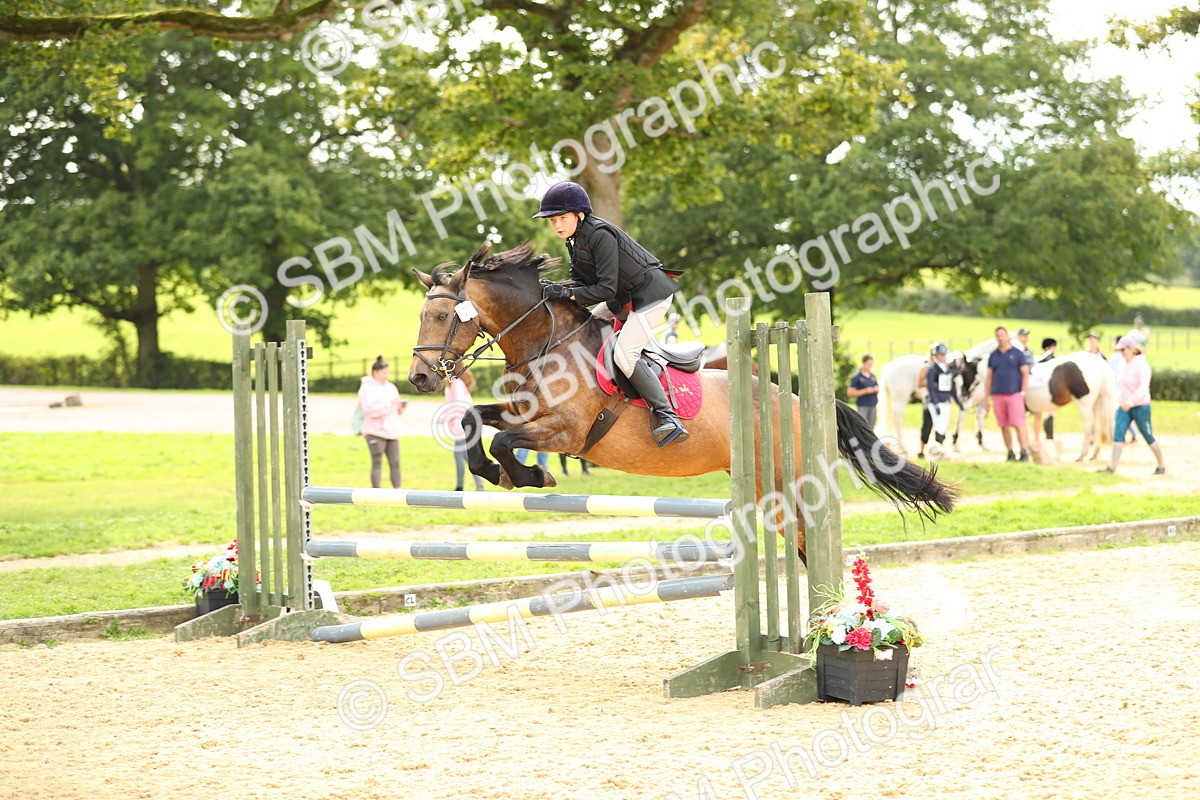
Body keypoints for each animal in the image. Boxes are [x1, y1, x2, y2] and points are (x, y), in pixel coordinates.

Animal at [407, 242, 955, 557]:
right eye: (422, 316)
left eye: (442, 317)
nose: (418, 378)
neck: (546, 343)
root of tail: (802, 402)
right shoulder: (522, 414)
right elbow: (473, 422)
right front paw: (494, 473)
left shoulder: (566, 432)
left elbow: (507, 442)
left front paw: (531, 476)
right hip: (764, 488)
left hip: (790, 481)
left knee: (809, 537)